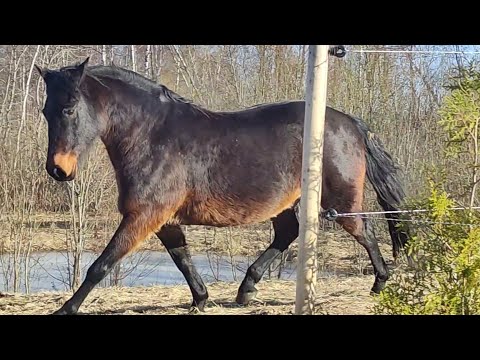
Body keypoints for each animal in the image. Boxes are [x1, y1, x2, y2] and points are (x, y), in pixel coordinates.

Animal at [35, 57, 406, 314]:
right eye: (45, 111)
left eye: (69, 108)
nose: (57, 170)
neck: (153, 136)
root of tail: (351, 123)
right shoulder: (162, 221)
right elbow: (182, 259)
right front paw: (200, 299)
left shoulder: (144, 216)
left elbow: (101, 265)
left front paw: (66, 308)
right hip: (285, 203)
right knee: (288, 232)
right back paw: (245, 290)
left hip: (340, 201)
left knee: (364, 230)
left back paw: (379, 283)